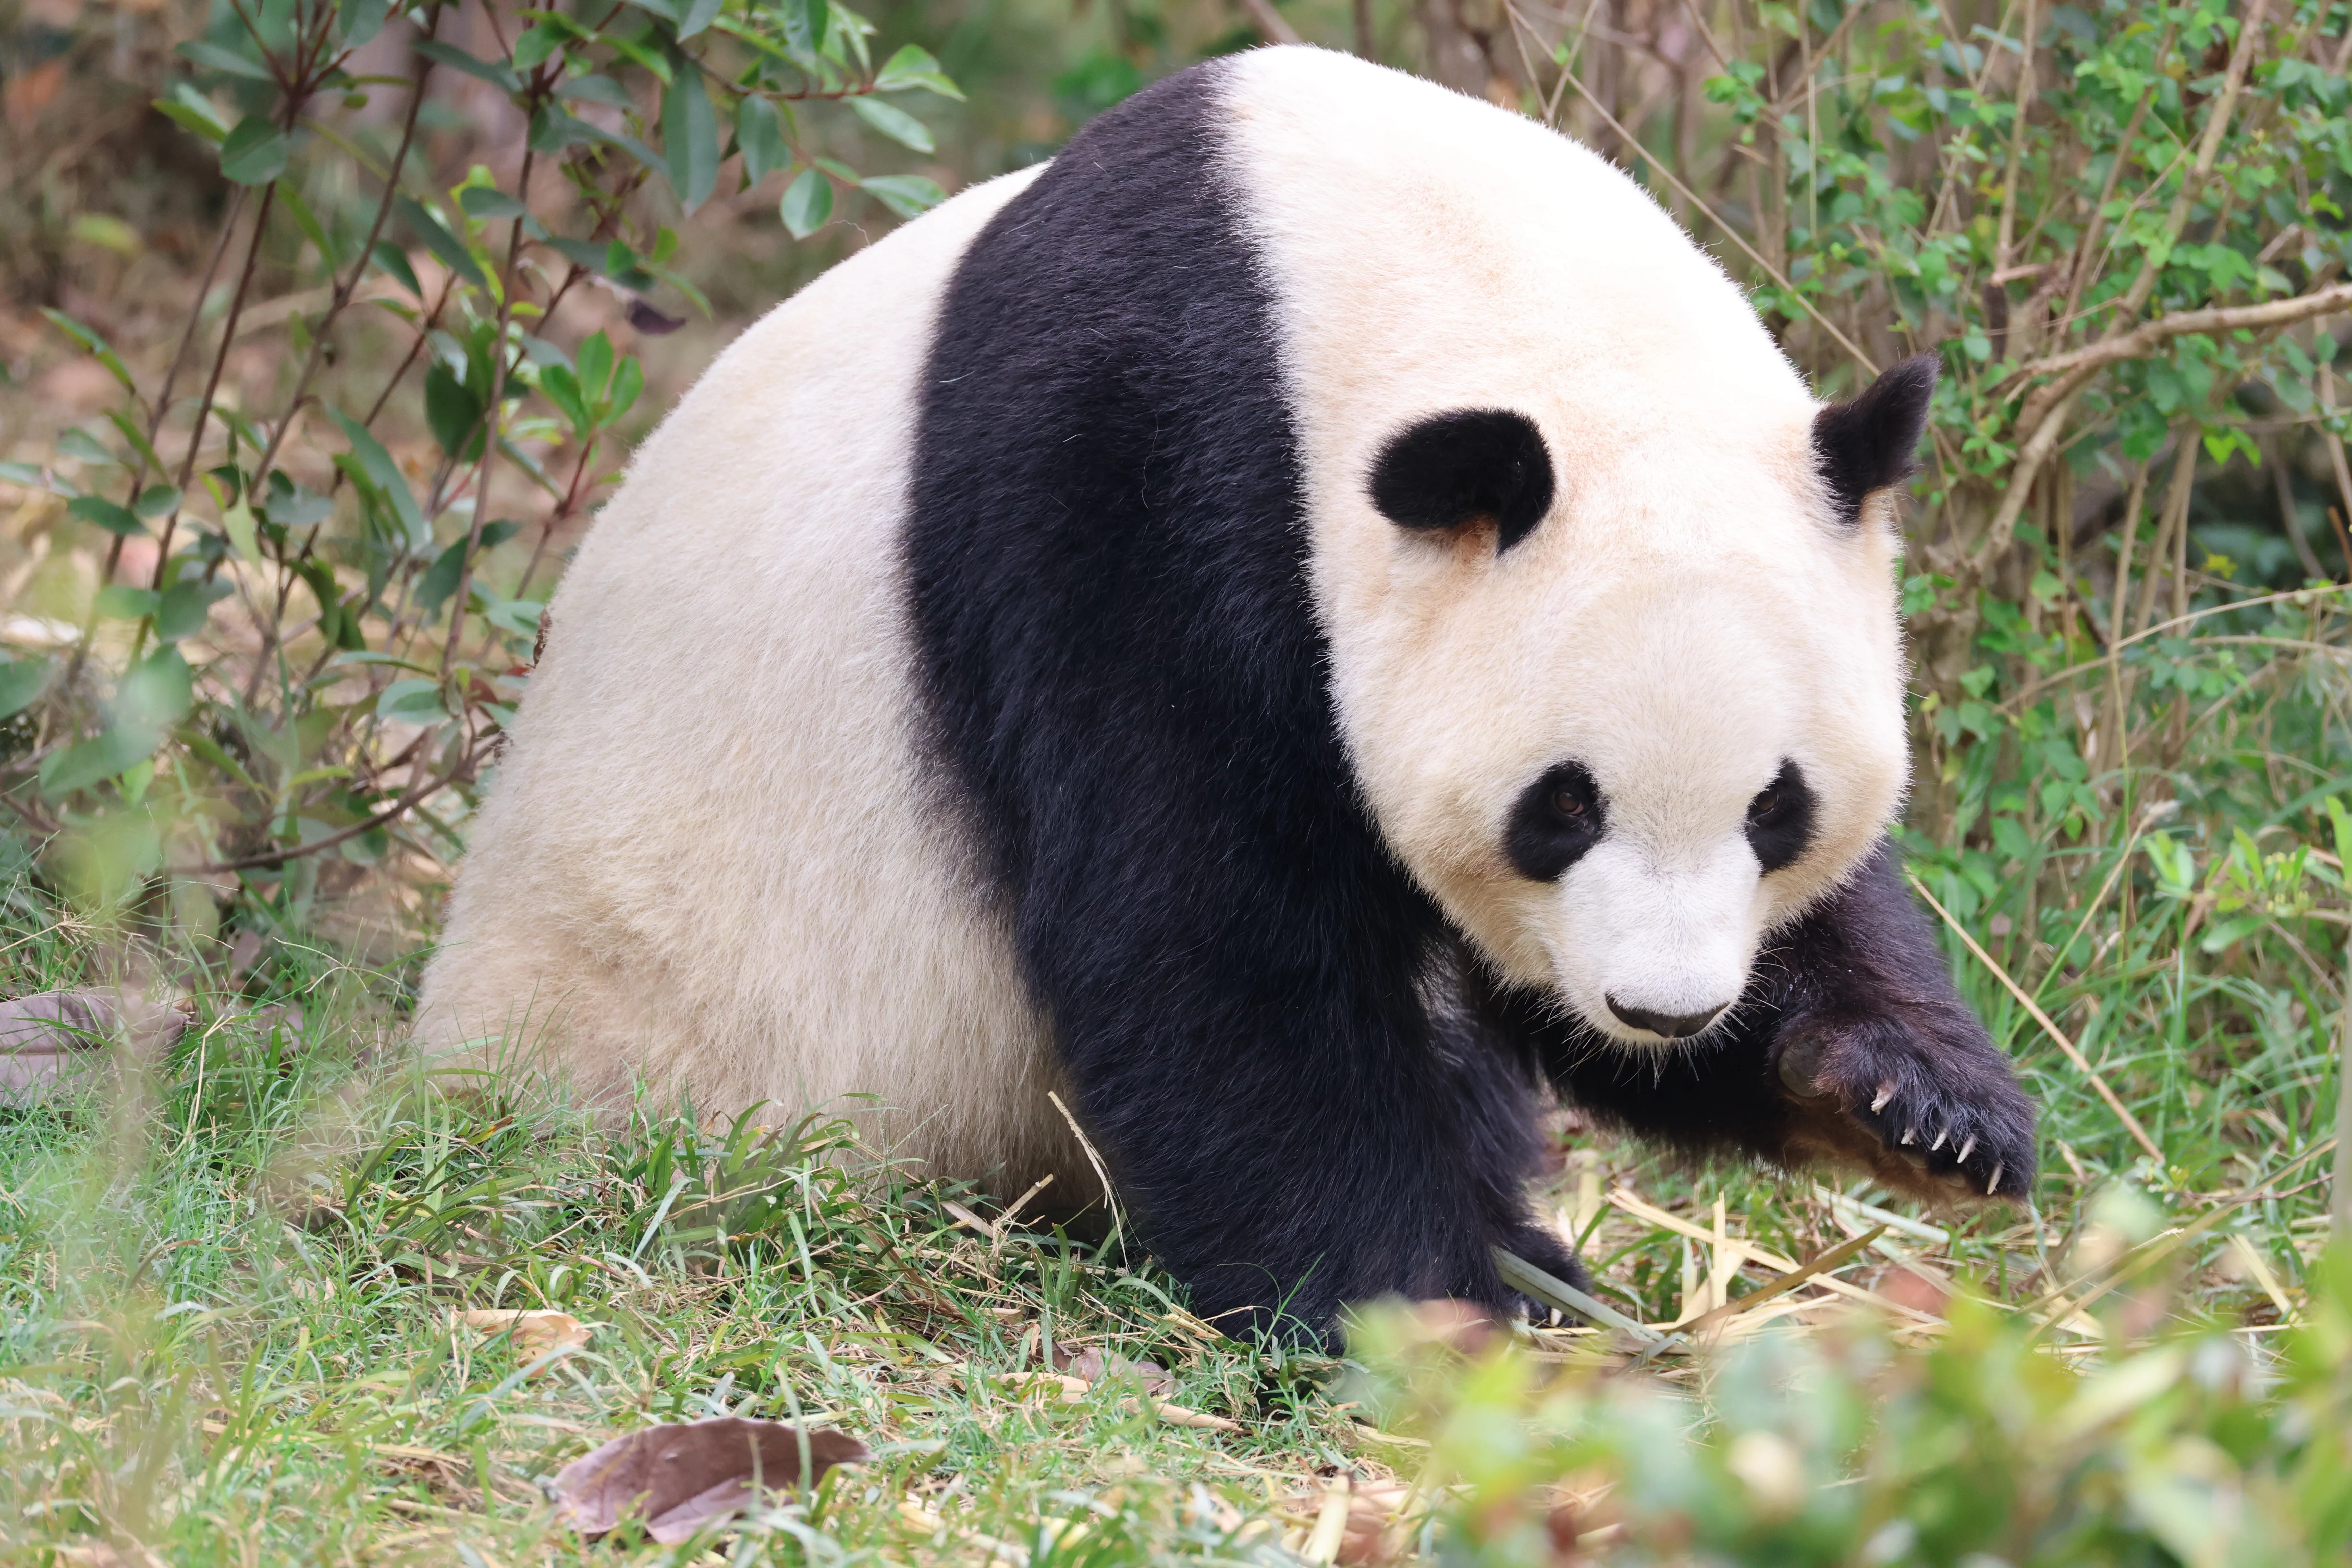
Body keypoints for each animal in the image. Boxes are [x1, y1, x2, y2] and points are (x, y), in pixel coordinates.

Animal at [418, 45, 2037, 1340]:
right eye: (1560, 807)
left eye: (1776, 807)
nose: (1666, 1004)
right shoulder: (1133, 479)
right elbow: (1206, 930)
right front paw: (1425, 1309)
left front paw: (1910, 1102)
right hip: (685, 1043)